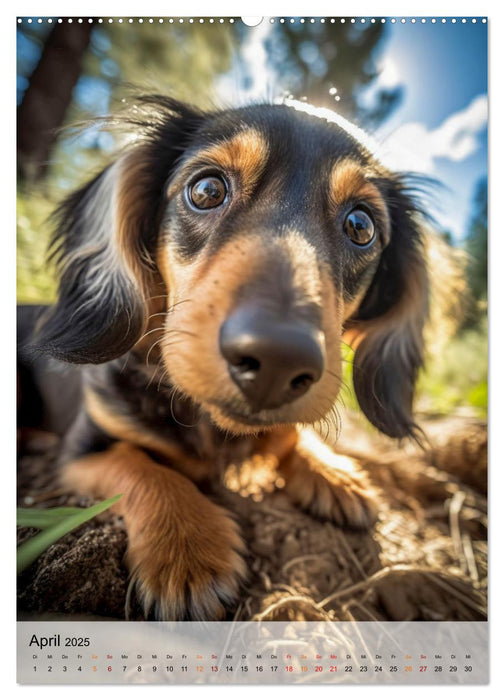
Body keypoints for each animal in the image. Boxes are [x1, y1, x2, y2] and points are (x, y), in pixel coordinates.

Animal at [19, 95, 430, 620]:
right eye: (207, 189)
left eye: (361, 226)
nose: (278, 361)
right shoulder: (82, 449)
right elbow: (141, 467)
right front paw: (188, 550)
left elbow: (288, 432)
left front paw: (333, 471)